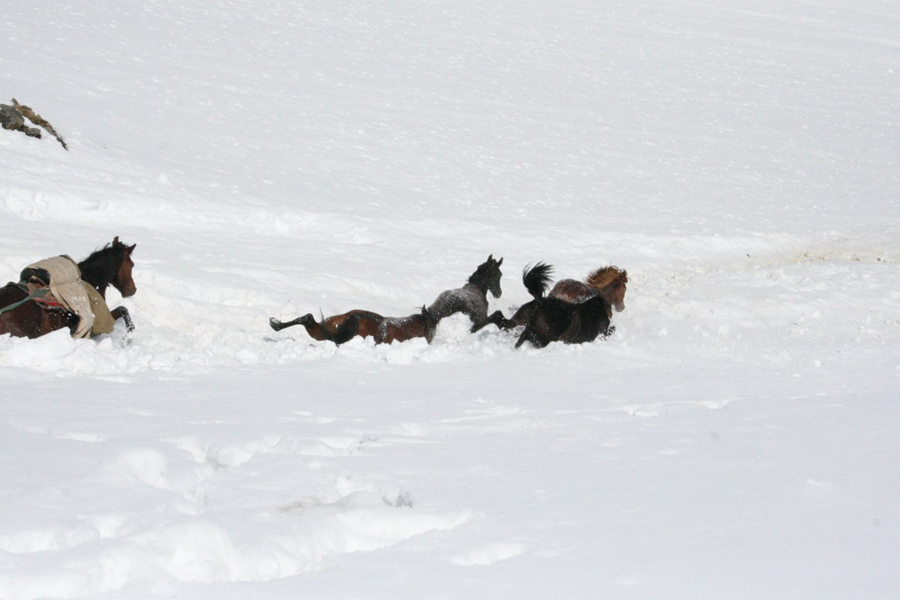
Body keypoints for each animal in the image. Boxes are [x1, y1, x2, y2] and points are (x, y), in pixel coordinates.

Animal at [0, 237, 137, 340]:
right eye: (132, 265)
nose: (133, 289)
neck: (87, 279)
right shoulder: (99, 322)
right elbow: (123, 310)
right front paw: (128, 338)